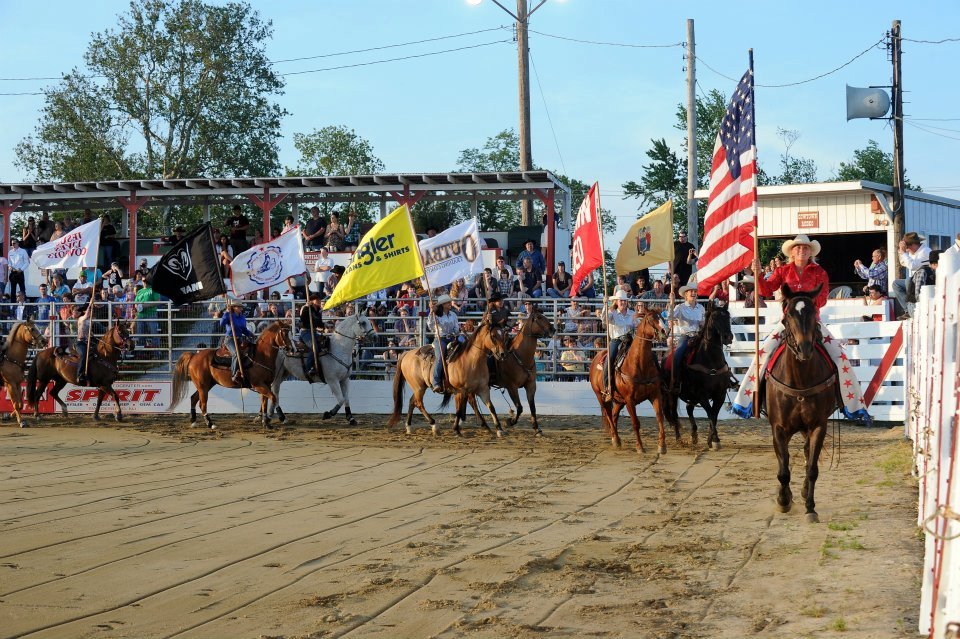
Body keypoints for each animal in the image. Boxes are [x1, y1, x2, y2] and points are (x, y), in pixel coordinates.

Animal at [492, 308, 560, 438]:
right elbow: (519, 407)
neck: (520, 355)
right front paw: (509, 421)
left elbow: (532, 407)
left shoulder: (531, 385)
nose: (553, 329)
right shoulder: (512, 387)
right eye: (539, 317)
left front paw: (537, 429)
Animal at [584, 312, 668, 456]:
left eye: (662, 318)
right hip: (601, 396)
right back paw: (616, 440)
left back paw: (615, 438)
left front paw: (662, 446)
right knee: (608, 414)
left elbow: (660, 417)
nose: (665, 331)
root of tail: (596, 357)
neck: (639, 364)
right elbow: (635, 423)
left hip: (619, 400)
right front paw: (640, 447)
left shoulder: (655, 395)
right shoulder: (630, 400)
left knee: (614, 415)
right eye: (651, 319)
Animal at [660, 304, 736, 450]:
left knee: (689, 408)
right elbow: (711, 413)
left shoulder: (720, 395)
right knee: (674, 413)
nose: (728, 337)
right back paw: (679, 439)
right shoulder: (702, 395)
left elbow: (714, 415)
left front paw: (710, 439)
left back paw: (694, 435)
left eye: (728, 316)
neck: (711, 360)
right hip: (672, 393)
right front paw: (715, 440)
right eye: (715, 316)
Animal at [764, 284, 840, 524]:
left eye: (813, 311)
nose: (805, 347)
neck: (799, 379)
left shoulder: (818, 426)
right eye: (788, 314)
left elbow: (812, 467)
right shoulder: (778, 428)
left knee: (807, 456)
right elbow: (783, 470)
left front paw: (810, 508)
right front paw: (783, 501)